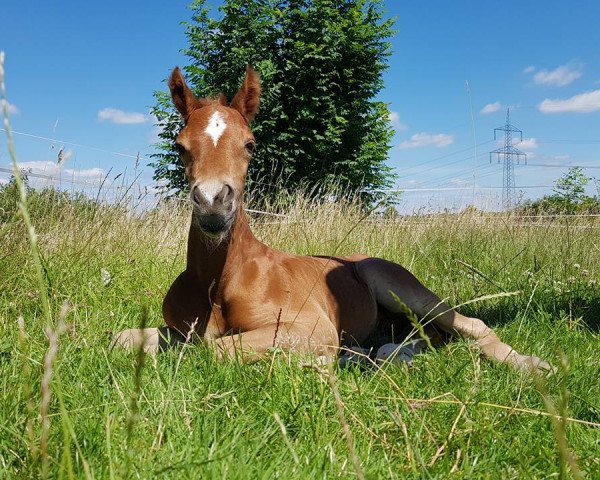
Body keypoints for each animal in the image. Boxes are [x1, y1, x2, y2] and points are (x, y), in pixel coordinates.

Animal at [112, 65, 548, 372]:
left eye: (250, 144)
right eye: (179, 146)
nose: (213, 203)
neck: (220, 282)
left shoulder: (310, 326)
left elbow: (216, 349)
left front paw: (326, 360)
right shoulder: (175, 331)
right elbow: (124, 338)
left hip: (398, 286)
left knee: (470, 324)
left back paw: (530, 364)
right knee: (424, 338)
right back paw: (382, 352)